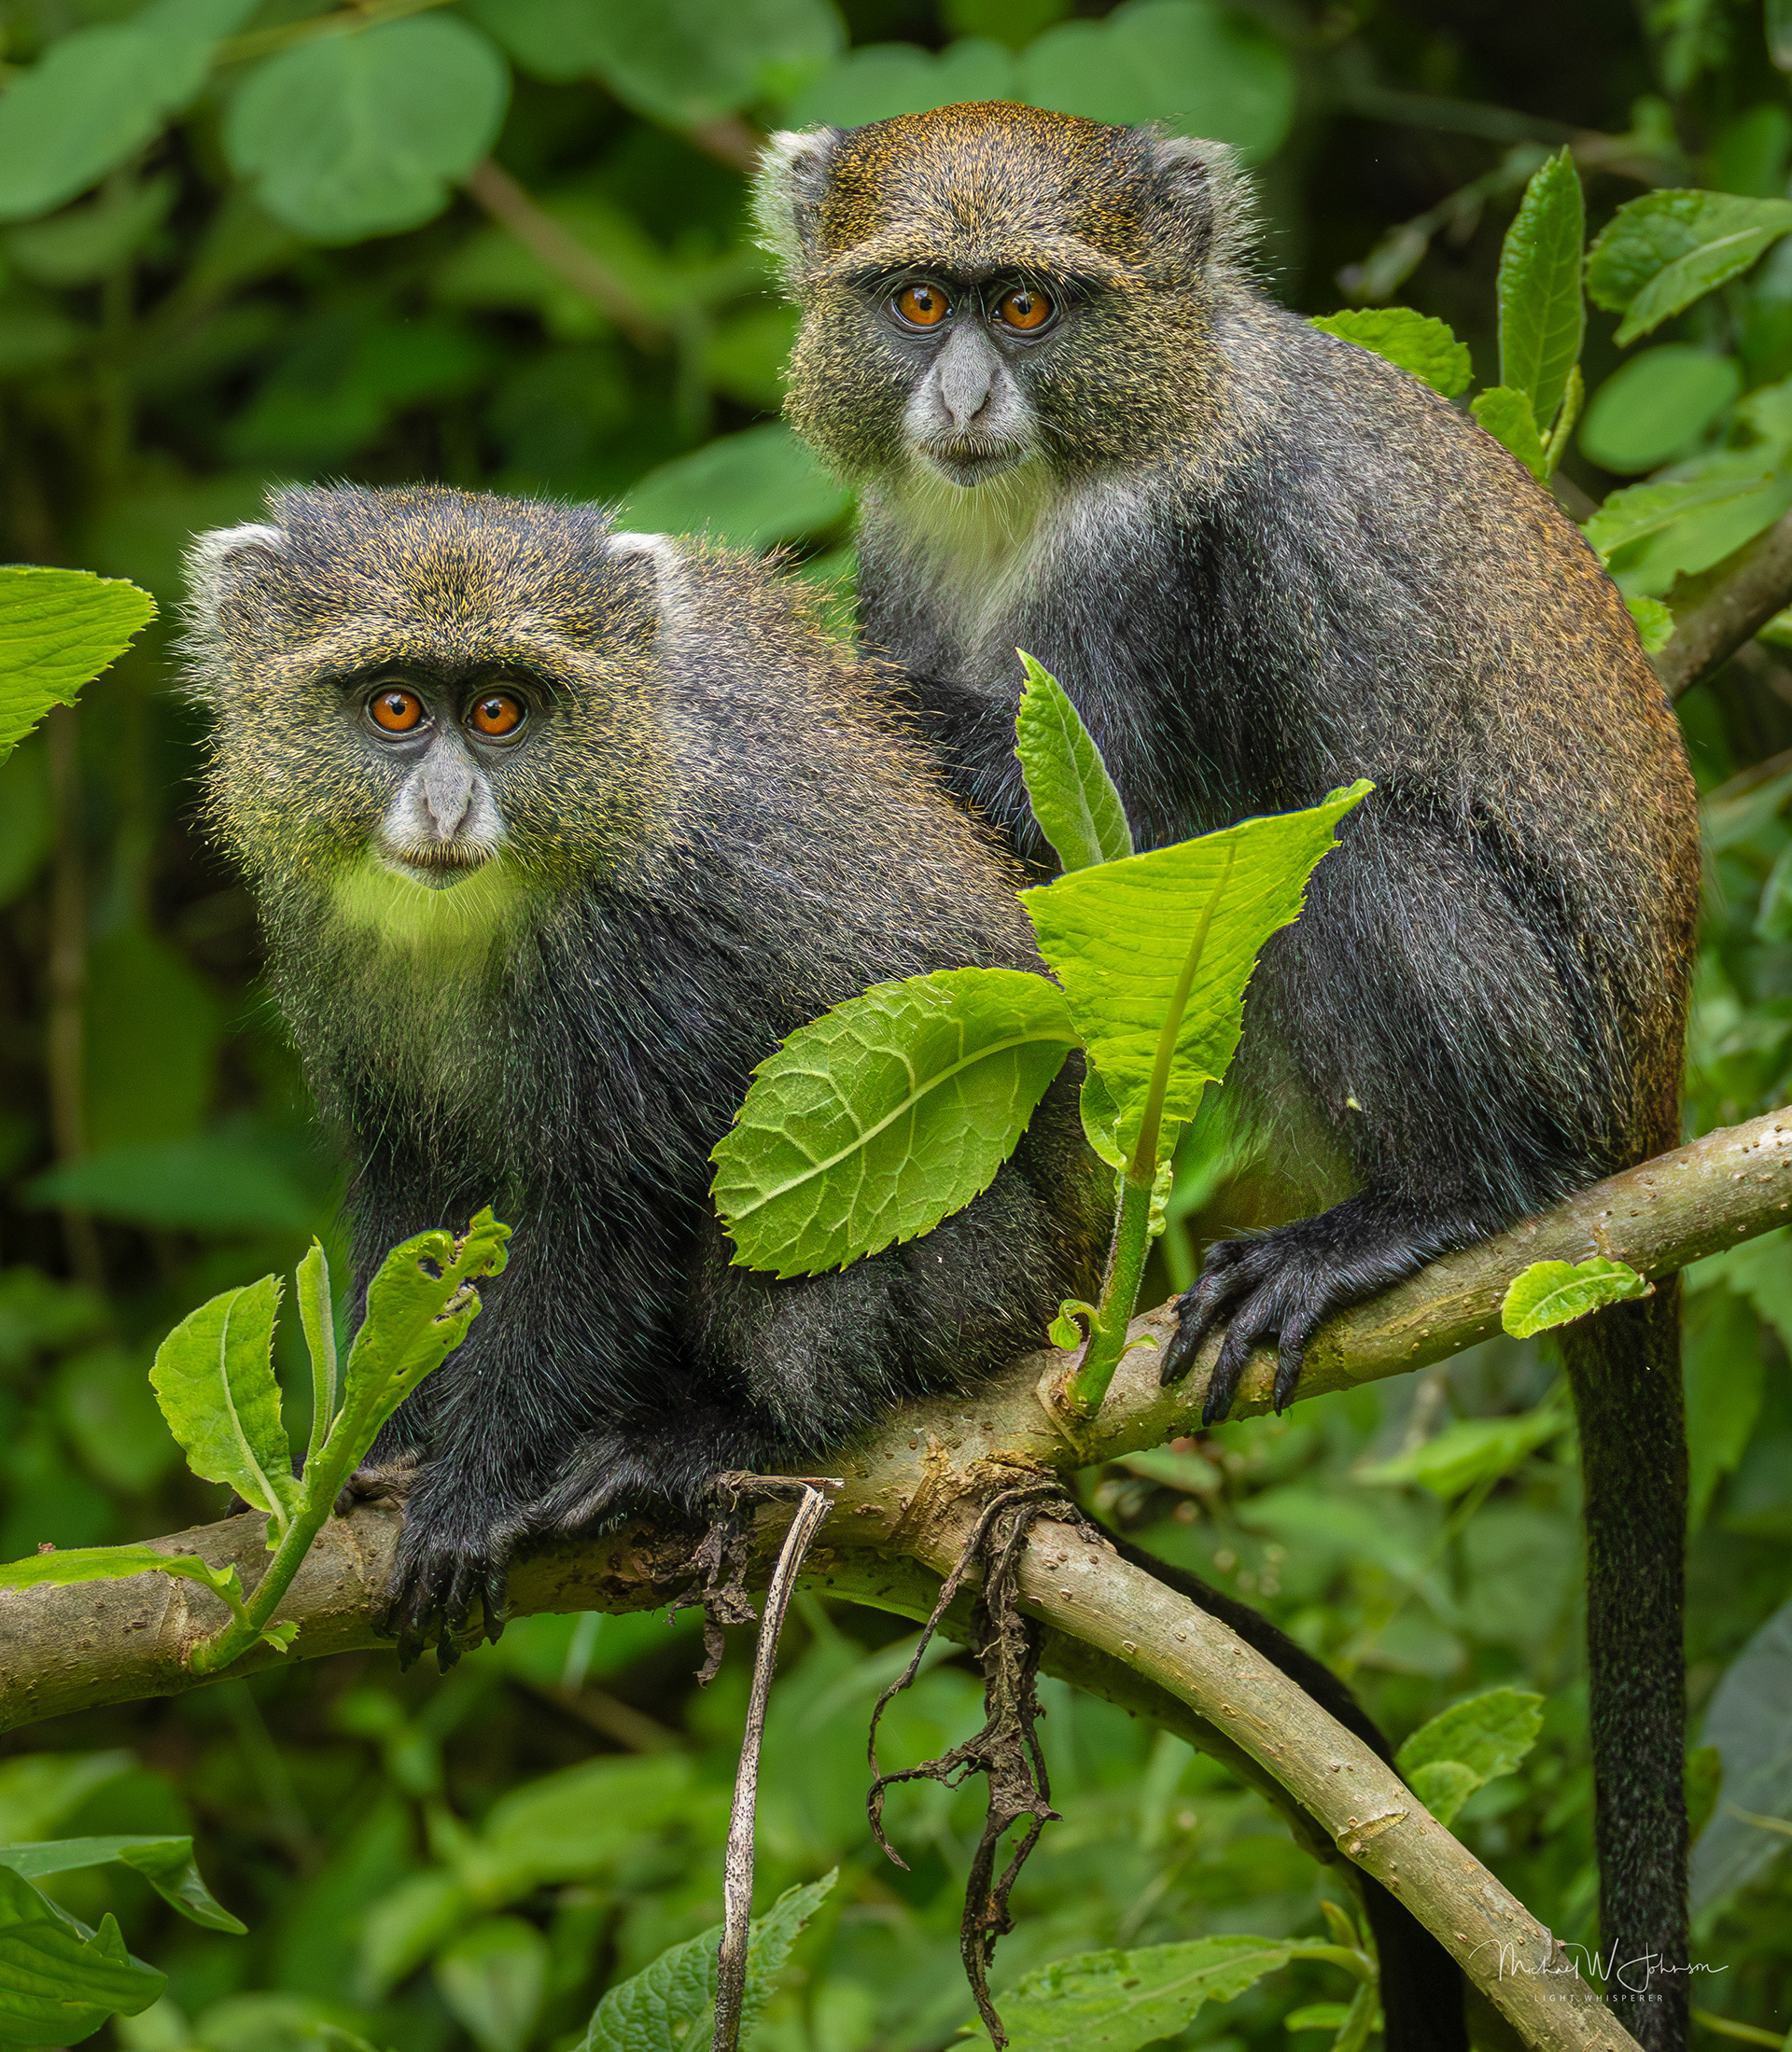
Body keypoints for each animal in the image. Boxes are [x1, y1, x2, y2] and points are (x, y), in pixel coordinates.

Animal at [185, 482, 1470, 2047]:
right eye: (391, 705)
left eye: (499, 710)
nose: (441, 807)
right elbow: (417, 1204)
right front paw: (372, 1456)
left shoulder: (649, 949)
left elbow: (616, 1206)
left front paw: (477, 1485)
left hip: (952, 1270)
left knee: (773, 1240)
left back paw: (710, 1442)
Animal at [755, 103, 1702, 2051]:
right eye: (917, 300)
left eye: (1032, 304)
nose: (965, 397)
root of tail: (1647, 1094)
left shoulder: (1157, 576)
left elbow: (1102, 846)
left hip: (1541, 1043)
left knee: (1349, 853)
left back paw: (1424, 1212)